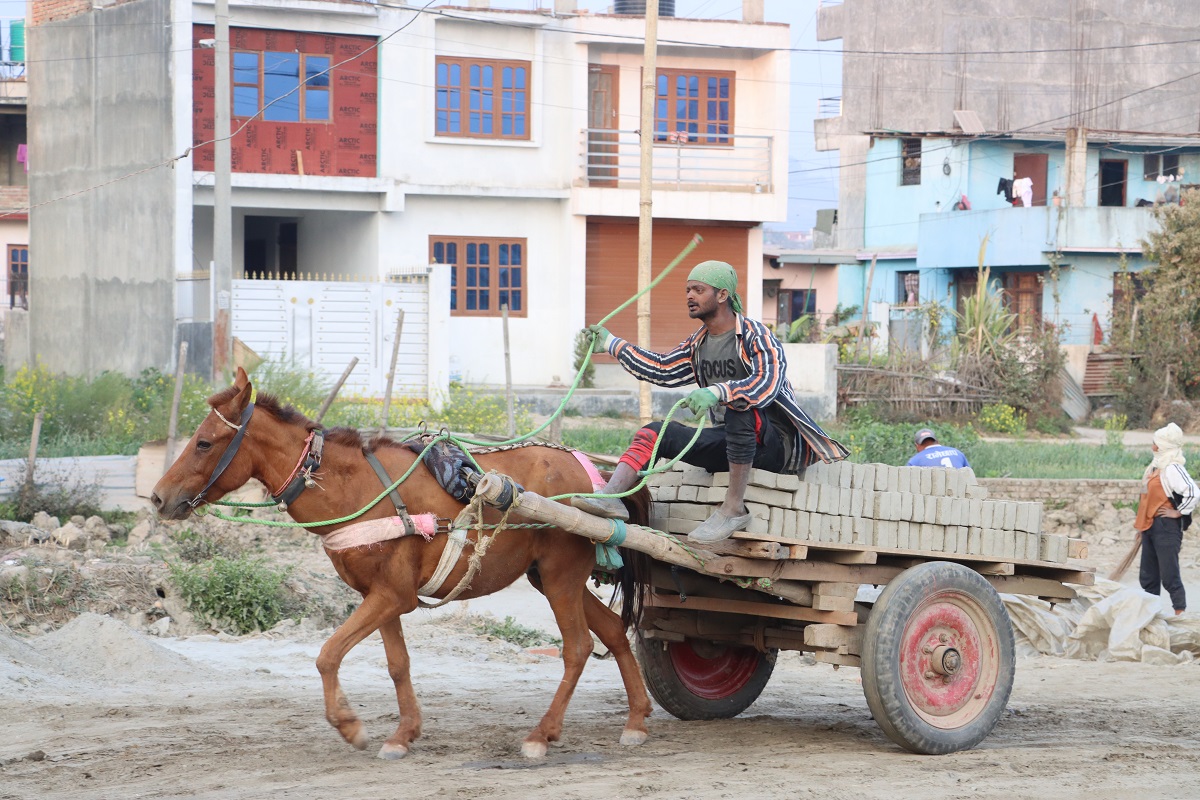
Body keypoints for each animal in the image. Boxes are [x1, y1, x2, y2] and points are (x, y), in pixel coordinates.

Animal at [157, 367, 657, 758]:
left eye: (204, 443)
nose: (159, 497)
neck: (352, 487)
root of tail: (593, 474)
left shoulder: (393, 596)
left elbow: (327, 654)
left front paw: (350, 725)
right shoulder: (382, 596)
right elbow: (398, 664)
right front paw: (404, 734)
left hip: (560, 577)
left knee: (577, 648)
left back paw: (542, 733)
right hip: (550, 578)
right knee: (613, 631)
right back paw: (636, 720)